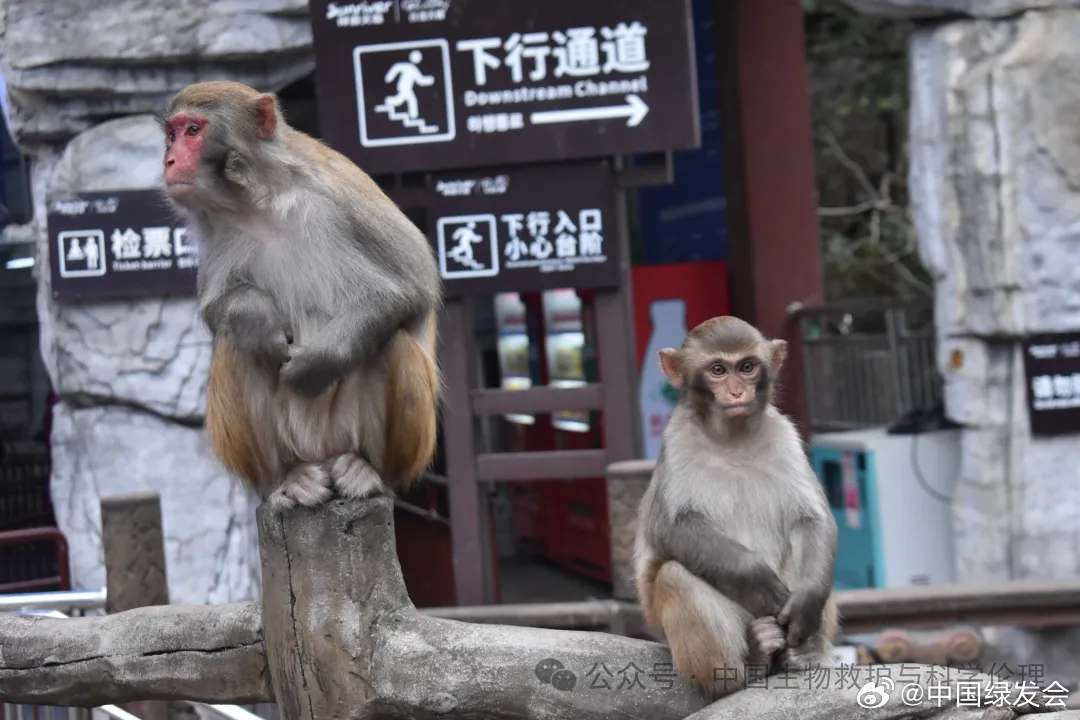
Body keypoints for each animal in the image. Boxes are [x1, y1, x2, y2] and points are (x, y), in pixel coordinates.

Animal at [157, 81, 442, 511]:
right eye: (171, 135)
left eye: (193, 130)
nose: (169, 160)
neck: (261, 200)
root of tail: (323, 454)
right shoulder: (216, 228)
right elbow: (217, 307)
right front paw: (255, 316)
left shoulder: (341, 195)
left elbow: (411, 287)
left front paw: (320, 361)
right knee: (239, 348)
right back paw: (288, 478)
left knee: (393, 340)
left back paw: (368, 472)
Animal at [630, 317, 842, 699]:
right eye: (717, 370)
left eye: (746, 367)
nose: (735, 393)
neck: (732, 439)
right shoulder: (677, 440)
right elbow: (673, 526)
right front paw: (758, 578)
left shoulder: (785, 436)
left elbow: (812, 520)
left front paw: (806, 601)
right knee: (675, 576)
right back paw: (748, 664)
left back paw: (803, 656)